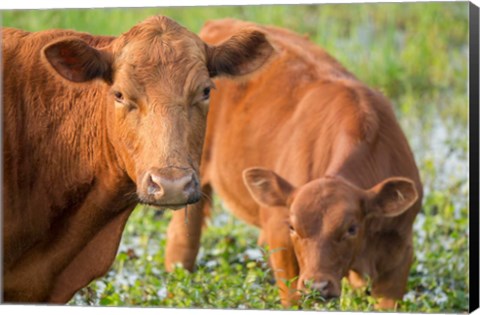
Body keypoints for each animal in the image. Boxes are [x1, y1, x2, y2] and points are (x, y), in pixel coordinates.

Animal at [167, 19, 422, 312]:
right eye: (293, 227)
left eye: (351, 229)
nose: (318, 286)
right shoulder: (280, 234)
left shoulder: (400, 251)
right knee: (182, 241)